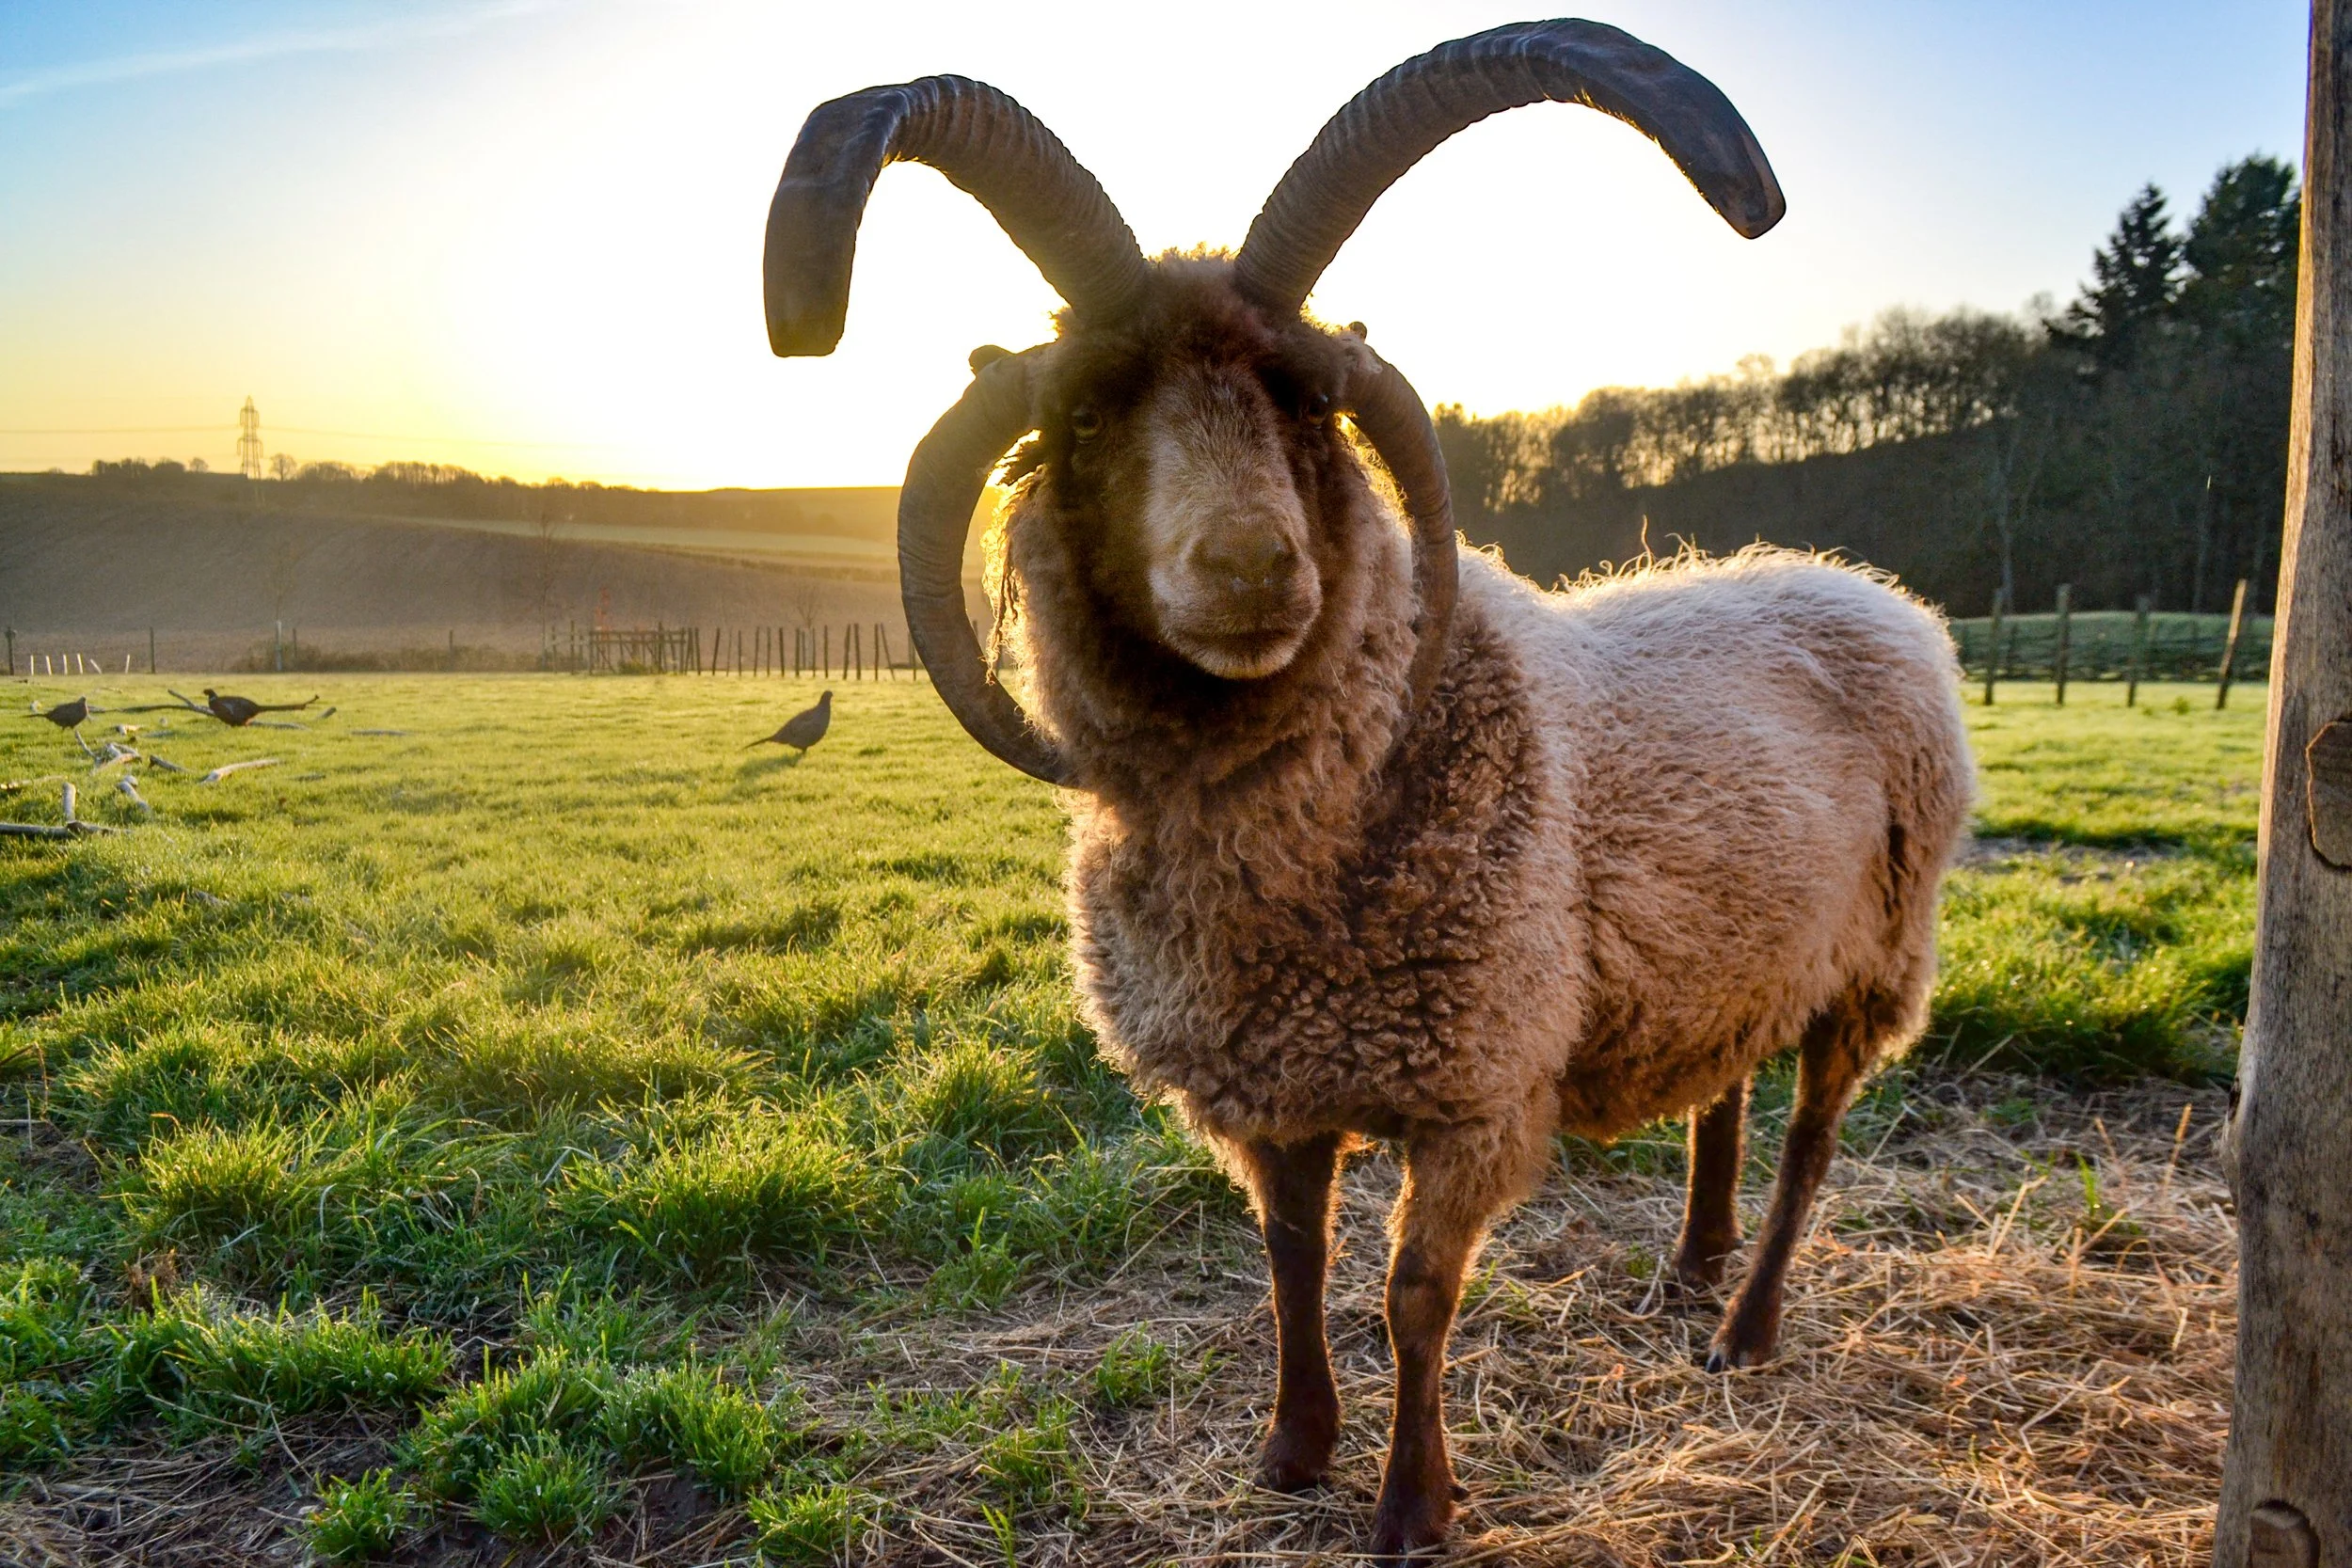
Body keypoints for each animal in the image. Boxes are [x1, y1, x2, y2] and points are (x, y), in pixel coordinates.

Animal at [763, 19, 1973, 1559]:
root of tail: (1868, 590)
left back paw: (1745, 1328)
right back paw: (1691, 1270)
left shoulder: (1476, 1087)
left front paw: (1411, 1503)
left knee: (1813, 1138)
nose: (1250, 567)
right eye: (1089, 417)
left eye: (1307, 408)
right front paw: (1293, 1448)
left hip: (1878, 953)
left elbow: (1412, 1298)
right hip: (1745, 949)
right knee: (1728, 1096)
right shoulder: (1273, 1078)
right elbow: (1292, 1257)